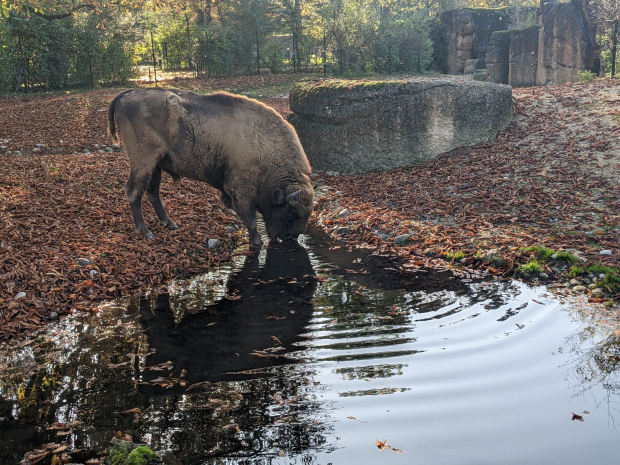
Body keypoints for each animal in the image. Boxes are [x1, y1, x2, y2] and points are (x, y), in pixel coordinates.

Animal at [106, 88, 314, 246]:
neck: (266, 147)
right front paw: (257, 242)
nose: (291, 238)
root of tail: (128, 94)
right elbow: (251, 219)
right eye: (291, 213)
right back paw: (146, 231)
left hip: (155, 164)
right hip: (143, 161)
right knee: (133, 190)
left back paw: (170, 223)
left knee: (152, 191)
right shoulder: (242, 189)